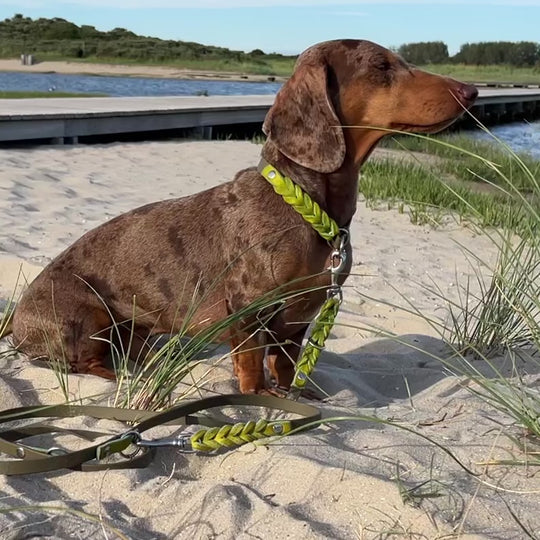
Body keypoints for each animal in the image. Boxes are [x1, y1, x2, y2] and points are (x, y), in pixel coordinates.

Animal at [9, 38, 476, 392]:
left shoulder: (299, 318)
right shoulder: (249, 306)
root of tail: (14, 322)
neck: (305, 206)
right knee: (82, 363)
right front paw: (256, 397)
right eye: (381, 65)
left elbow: (285, 365)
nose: (472, 91)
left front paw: (293, 397)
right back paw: (125, 375)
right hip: (91, 319)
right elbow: (251, 363)